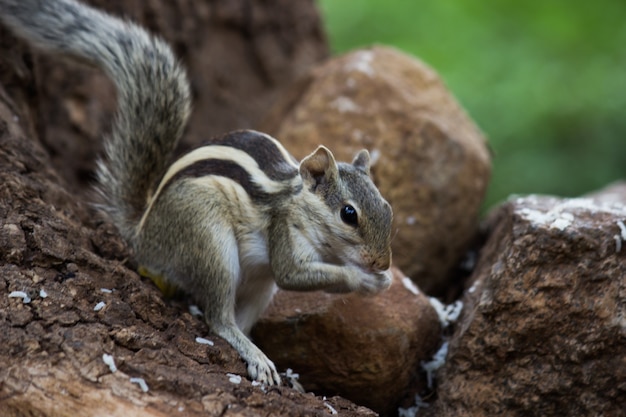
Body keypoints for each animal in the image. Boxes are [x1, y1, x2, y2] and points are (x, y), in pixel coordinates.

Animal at [0, 0, 390, 386]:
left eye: (387, 209)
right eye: (349, 214)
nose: (382, 263)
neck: (298, 202)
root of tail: (144, 234)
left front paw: (381, 278)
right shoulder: (284, 232)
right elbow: (293, 274)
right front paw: (364, 280)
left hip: (258, 285)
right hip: (210, 242)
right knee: (218, 320)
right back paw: (255, 355)